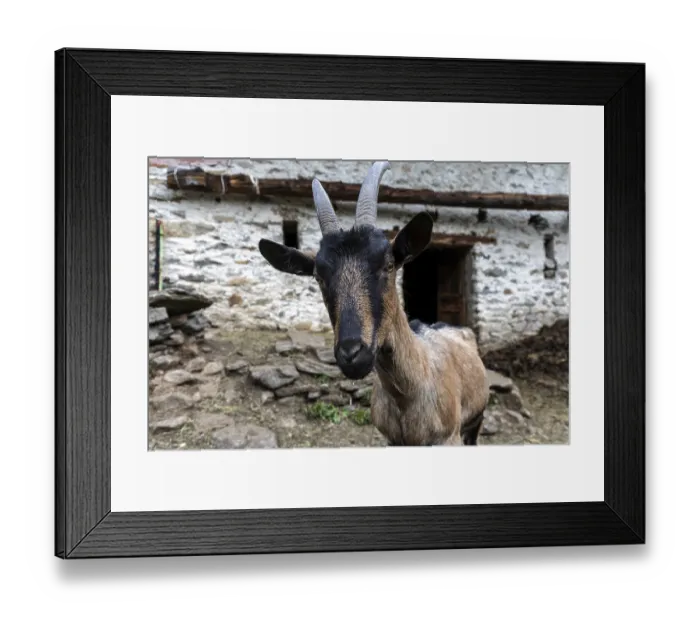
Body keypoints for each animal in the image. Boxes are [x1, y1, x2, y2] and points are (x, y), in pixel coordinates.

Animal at [258, 161, 489, 446]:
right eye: (318, 276)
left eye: (388, 265)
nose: (352, 354)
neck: (407, 393)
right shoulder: (391, 440)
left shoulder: (449, 438)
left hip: (476, 420)